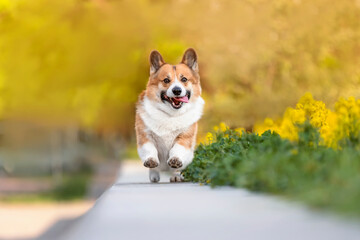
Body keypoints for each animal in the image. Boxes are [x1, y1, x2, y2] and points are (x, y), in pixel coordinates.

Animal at [135, 49, 204, 184]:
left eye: (184, 79)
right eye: (166, 80)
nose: (177, 90)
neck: (170, 114)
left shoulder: (185, 138)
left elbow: (177, 149)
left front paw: (175, 161)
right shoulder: (145, 136)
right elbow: (150, 149)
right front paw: (151, 161)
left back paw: (177, 176)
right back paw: (154, 175)